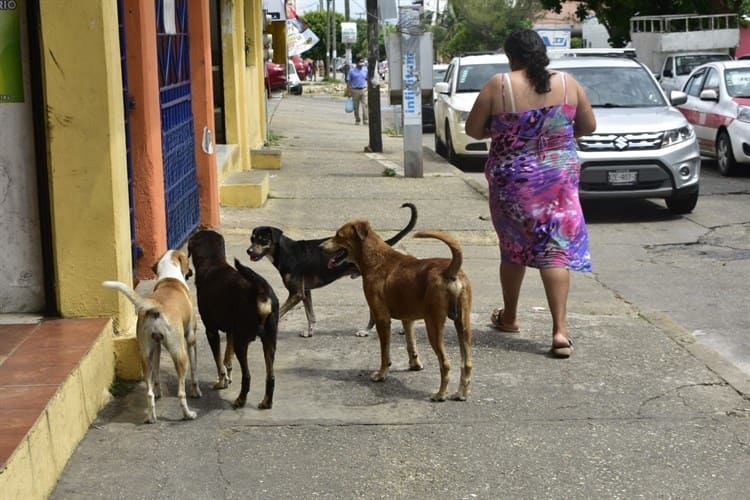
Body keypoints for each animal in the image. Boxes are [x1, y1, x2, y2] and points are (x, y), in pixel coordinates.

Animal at [104, 250, 203, 422]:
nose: (191, 271)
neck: (169, 278)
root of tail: (156, 307)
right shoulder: (191, 338)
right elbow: (194, 371)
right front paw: (196, 392)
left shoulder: (156, 347)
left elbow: (156, 374)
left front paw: (158, 392)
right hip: (180, 353)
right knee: (181, 392)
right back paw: (188, 414)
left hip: (145, 354)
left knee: (148, 392)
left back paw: (151, 416)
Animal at [324, 223, 476, 402]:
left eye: (338, 235)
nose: (320, 246)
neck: (377, 259)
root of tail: (449, 270)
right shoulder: (408, 319)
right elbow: (411, 344)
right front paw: (415, 365)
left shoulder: (382, 318)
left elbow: (385, 353)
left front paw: (381, 374)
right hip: (463, 324)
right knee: (467, 363)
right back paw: (461, 394)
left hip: (433, 325)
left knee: (445, 363)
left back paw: (440, 394)